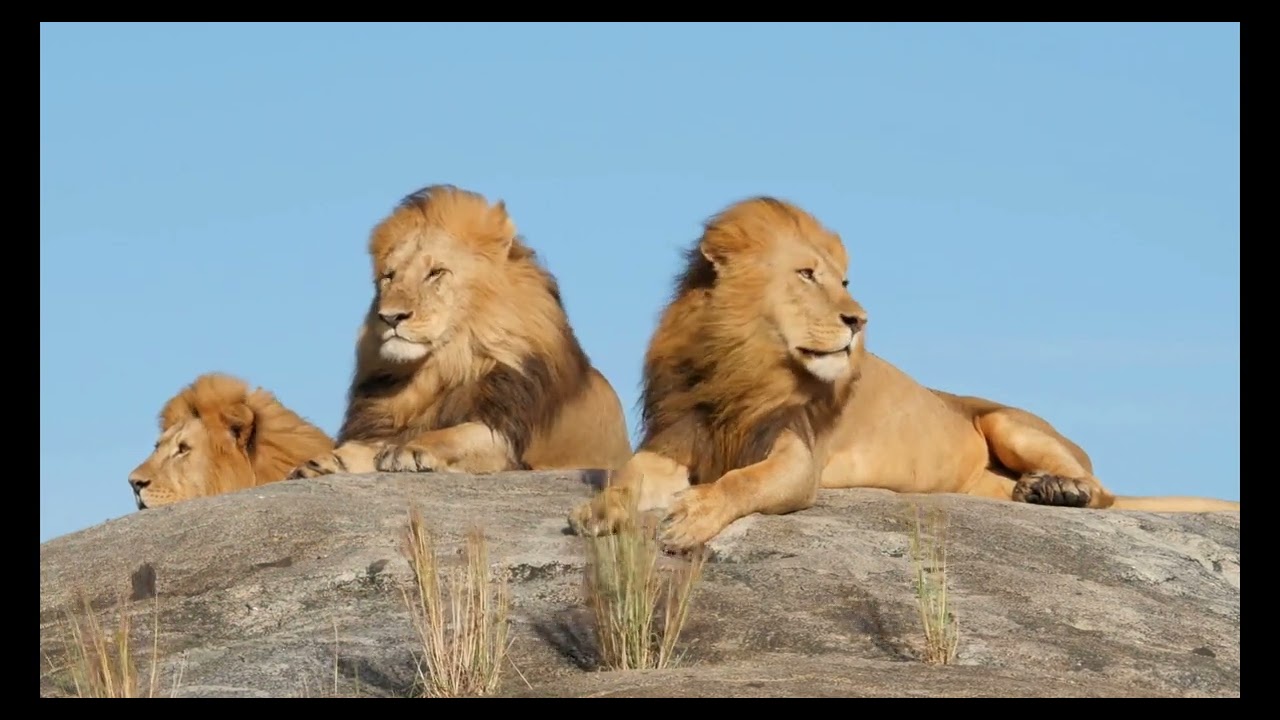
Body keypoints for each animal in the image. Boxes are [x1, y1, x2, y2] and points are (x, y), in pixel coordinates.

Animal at [286, 184, 633, 481]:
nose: (390, 317)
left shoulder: (505, 436)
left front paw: (409, 448)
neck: (442, 368)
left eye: (436, 272)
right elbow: (364, 447)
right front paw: (325, 461)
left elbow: (456, 434)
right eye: (389, 276)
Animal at [569, 196, 1240, 553]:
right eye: (807, 274)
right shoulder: (678, 436)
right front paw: (600, 510)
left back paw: (1060, 490)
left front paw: (691, 517)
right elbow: (631, 476)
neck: (742, 358)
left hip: (1009, 423)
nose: (858, 319)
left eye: (845, 279)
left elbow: (743, 482)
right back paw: (1032, 492)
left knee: (1104, 492)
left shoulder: (797, 458)